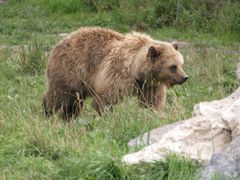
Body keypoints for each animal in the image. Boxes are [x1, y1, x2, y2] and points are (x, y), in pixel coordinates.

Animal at [44, 27, 188, 119]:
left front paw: (152, 113)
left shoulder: (150, 85)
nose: (184, 77)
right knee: (59, 95)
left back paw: (69, 117)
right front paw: (105, 116)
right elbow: (106, 98)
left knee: (74, 101)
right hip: (71, 71)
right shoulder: (118, 74)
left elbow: (152, 101)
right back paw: (47, 112)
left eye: (181, 64)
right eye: (173, 66)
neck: (137, 70)